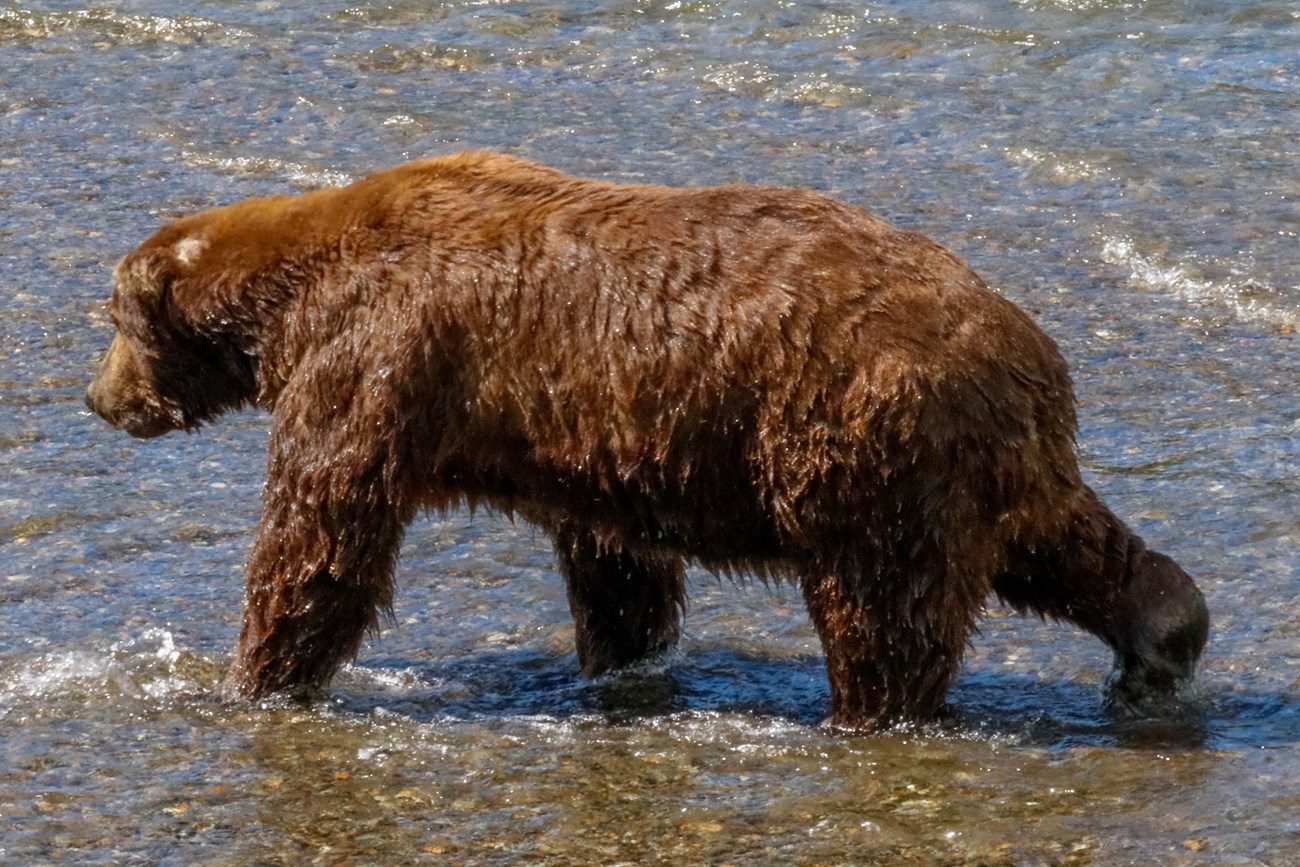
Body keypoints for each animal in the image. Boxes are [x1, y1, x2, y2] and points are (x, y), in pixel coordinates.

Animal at [89, 150, 1206, 733]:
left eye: (115, 317)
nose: (99, 398)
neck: (291, 296)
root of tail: (1021, 343)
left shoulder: (375, 362)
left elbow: (320, 536)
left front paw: (254, 677)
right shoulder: (590, 443)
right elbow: (615, 566)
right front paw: (616, 657)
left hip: (858, 443)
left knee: (882, 608)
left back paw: (862, 713)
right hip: (983, 460)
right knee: (1069, 542)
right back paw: (1162, 637)